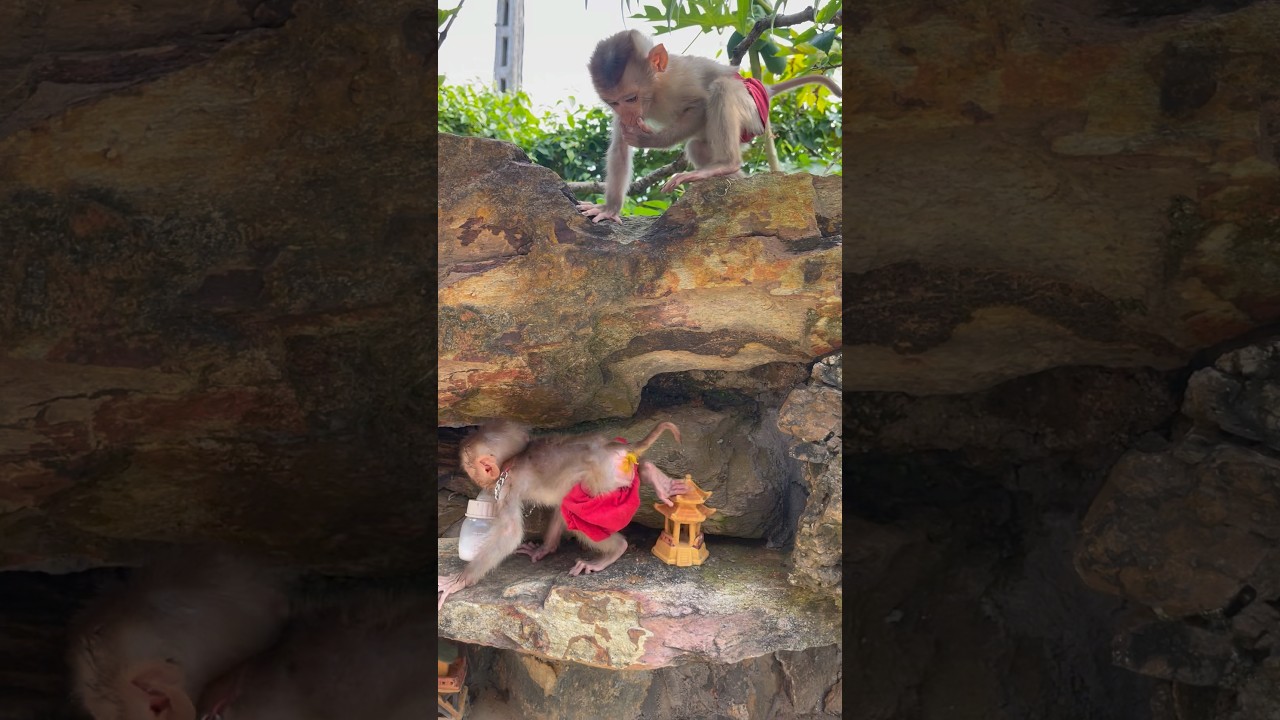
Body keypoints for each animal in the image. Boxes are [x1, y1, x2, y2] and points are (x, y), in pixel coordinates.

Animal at [439, 420, 687, 608]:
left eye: (470, 468)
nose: (473, 479)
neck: (513, 460)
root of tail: (614, 447)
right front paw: (543, 549)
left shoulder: (507, 486)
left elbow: (510, 533)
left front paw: (459, 580)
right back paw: (654, 475)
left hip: (604, 479)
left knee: (577, 517)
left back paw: (615, 550)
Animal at [576, 29, 842, 224]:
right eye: (614, 102)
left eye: (631, 98)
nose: (627, 113)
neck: (656, 90)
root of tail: (764, 89)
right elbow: (619, 148)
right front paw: (609, 209)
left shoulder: (680, 82)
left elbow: (700, 107)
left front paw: (649, 139)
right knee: (697, 146)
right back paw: (736, 177)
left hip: (752, 113)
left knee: (722, 88)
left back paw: (725, 164)